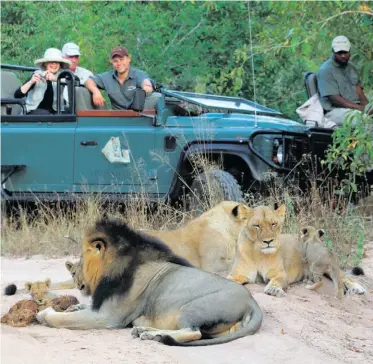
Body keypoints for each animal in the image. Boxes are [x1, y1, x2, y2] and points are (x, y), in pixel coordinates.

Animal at [35, 218, 262, 346]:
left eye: (81, 259)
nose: (75, 276)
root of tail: (253, 302)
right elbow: (79, 308)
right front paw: (72, 307)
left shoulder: (108, 317)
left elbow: (61, 320)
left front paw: (45, 314)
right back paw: (146, 332)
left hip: (193, 308)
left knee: (193, 332)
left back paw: (153, 335)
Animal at [227, 203, 366, 298]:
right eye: (256, 225)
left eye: (273, 224)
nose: (268, 241)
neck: (258, 253)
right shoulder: (236, 275)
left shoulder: (281, 274)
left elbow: (276, 280)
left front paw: (273, 290)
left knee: (344, 277)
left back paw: (358, 288)